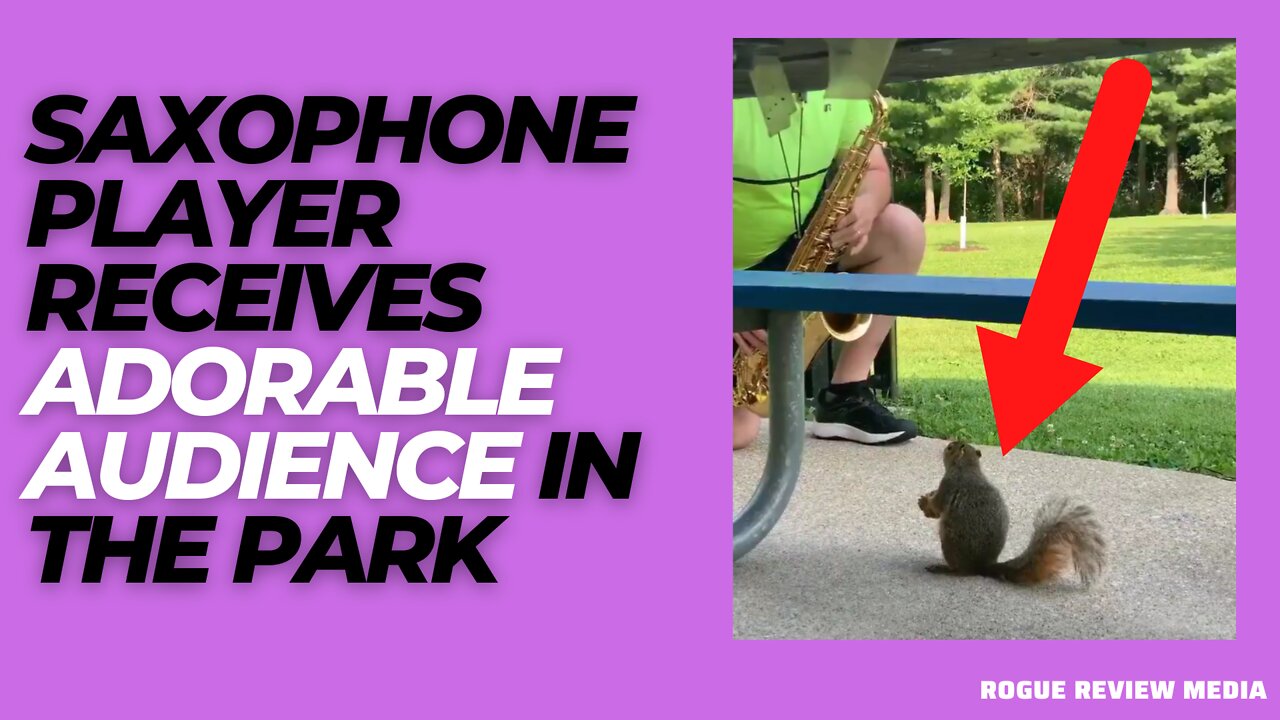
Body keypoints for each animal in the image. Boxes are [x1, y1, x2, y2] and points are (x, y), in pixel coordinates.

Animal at [916, 438, 1105, 584]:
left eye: (950, 448)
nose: (945, 447)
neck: (968, 466)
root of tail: (983, 566)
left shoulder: (949, 484)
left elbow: (937, 506)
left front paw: (925, 502)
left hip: (950, 542)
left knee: (962, 571)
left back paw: (943, 568)